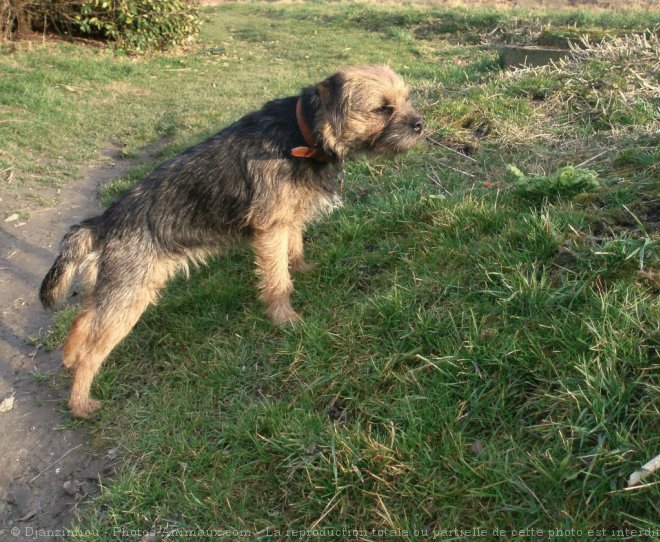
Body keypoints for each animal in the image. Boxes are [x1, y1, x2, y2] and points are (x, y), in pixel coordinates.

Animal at [40, 65, 422, 420]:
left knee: (82, 320)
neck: (302, 132)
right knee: (93, 350)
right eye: (382, 108)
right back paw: (81, 403)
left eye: (406, 98)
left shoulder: (286, 219)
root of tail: (103, 222)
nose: (420, 123)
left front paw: (303, 267)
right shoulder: (270, 228)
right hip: (129, 295)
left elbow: (294, 247)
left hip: (112, 286)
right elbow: (276, 279)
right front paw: (285, 319)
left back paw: (69, 358)